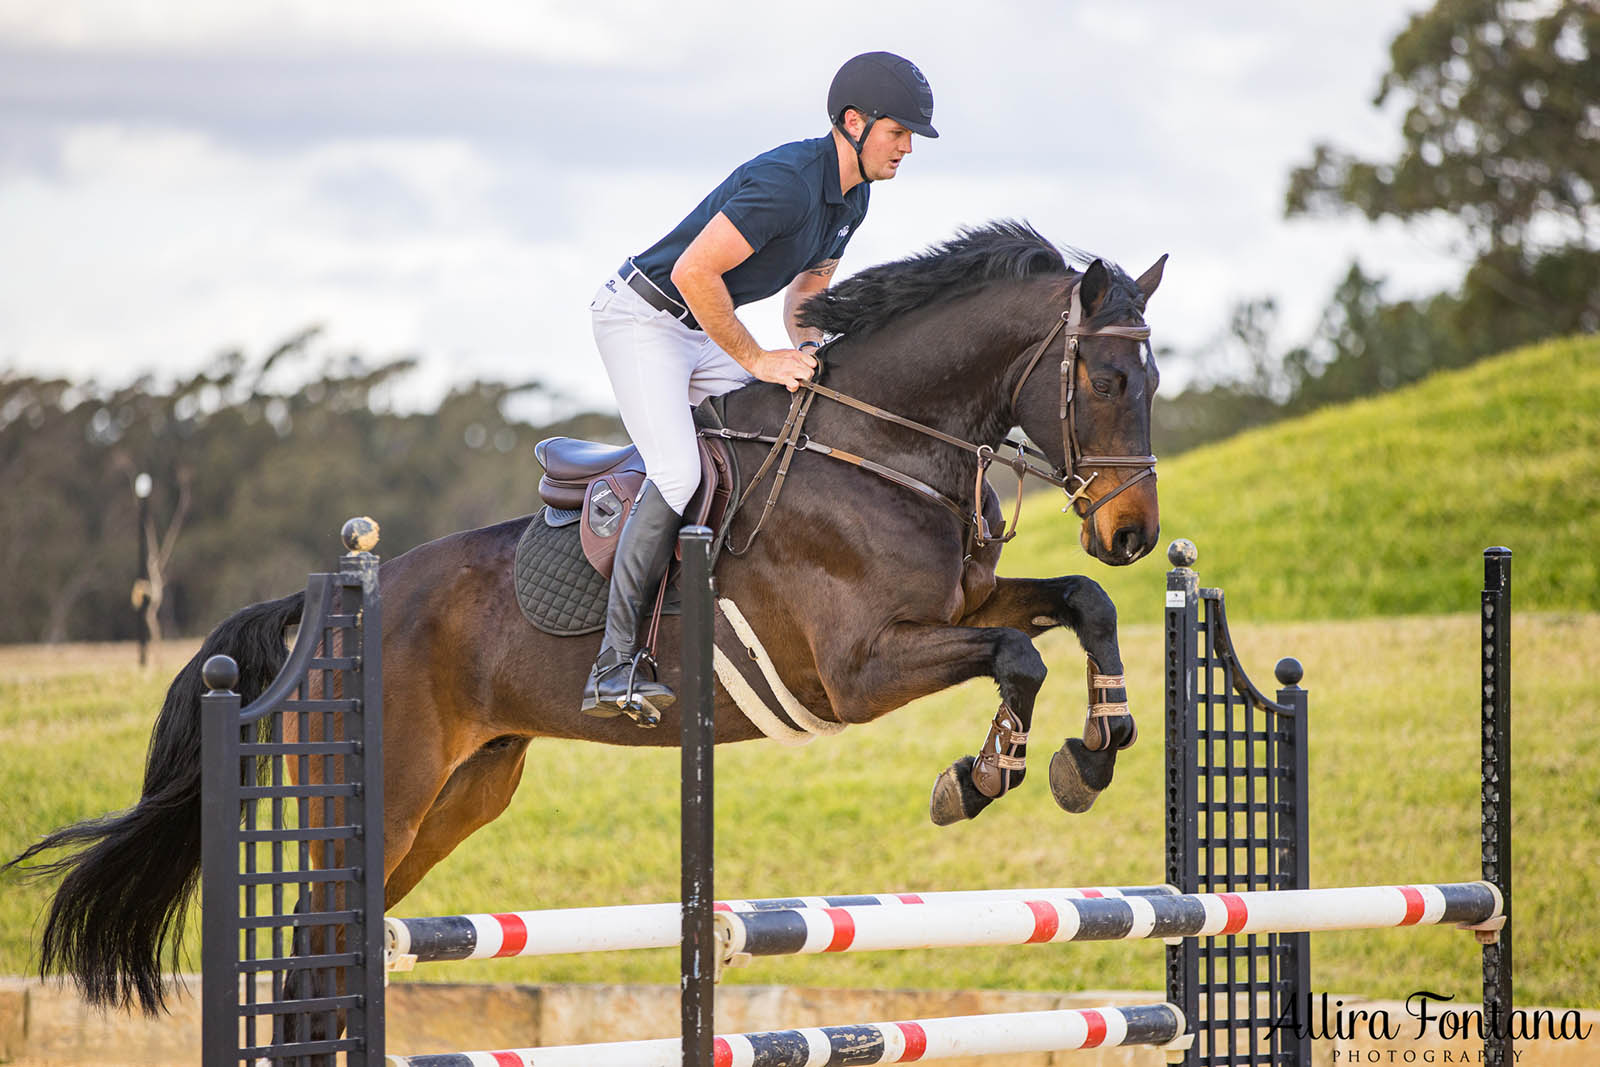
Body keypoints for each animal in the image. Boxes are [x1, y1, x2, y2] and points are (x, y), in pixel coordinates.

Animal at [6, 219, 1171, 1017]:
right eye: (1108, 378)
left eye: (1154, 379)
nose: (1133, 532)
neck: (879, 445)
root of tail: (324, 604)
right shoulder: (857, 670)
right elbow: (1018, 656)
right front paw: (981, 776)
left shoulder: (957, 606)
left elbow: (1077, 609)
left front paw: (1098, 744)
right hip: (383, 795)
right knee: (307, 954)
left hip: (461, 796)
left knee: (344, 945)